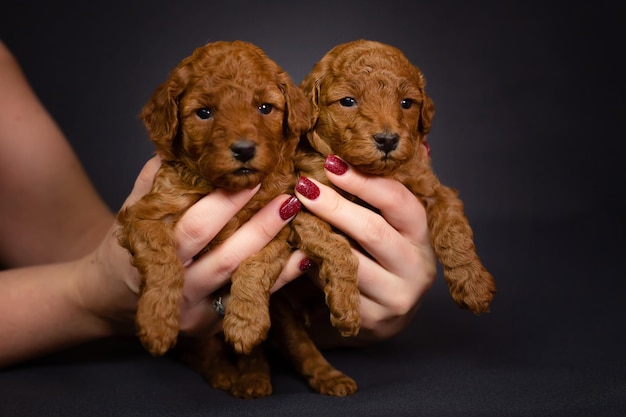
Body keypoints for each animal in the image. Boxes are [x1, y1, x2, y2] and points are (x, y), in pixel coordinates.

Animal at [294, 40, 494, 316]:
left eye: (406, 103)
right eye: (347, 101)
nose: (387, 140)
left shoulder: (434, 189)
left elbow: (455, 230)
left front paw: (473, 283)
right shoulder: (307, 201)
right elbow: (334, 248)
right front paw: (346, 305)